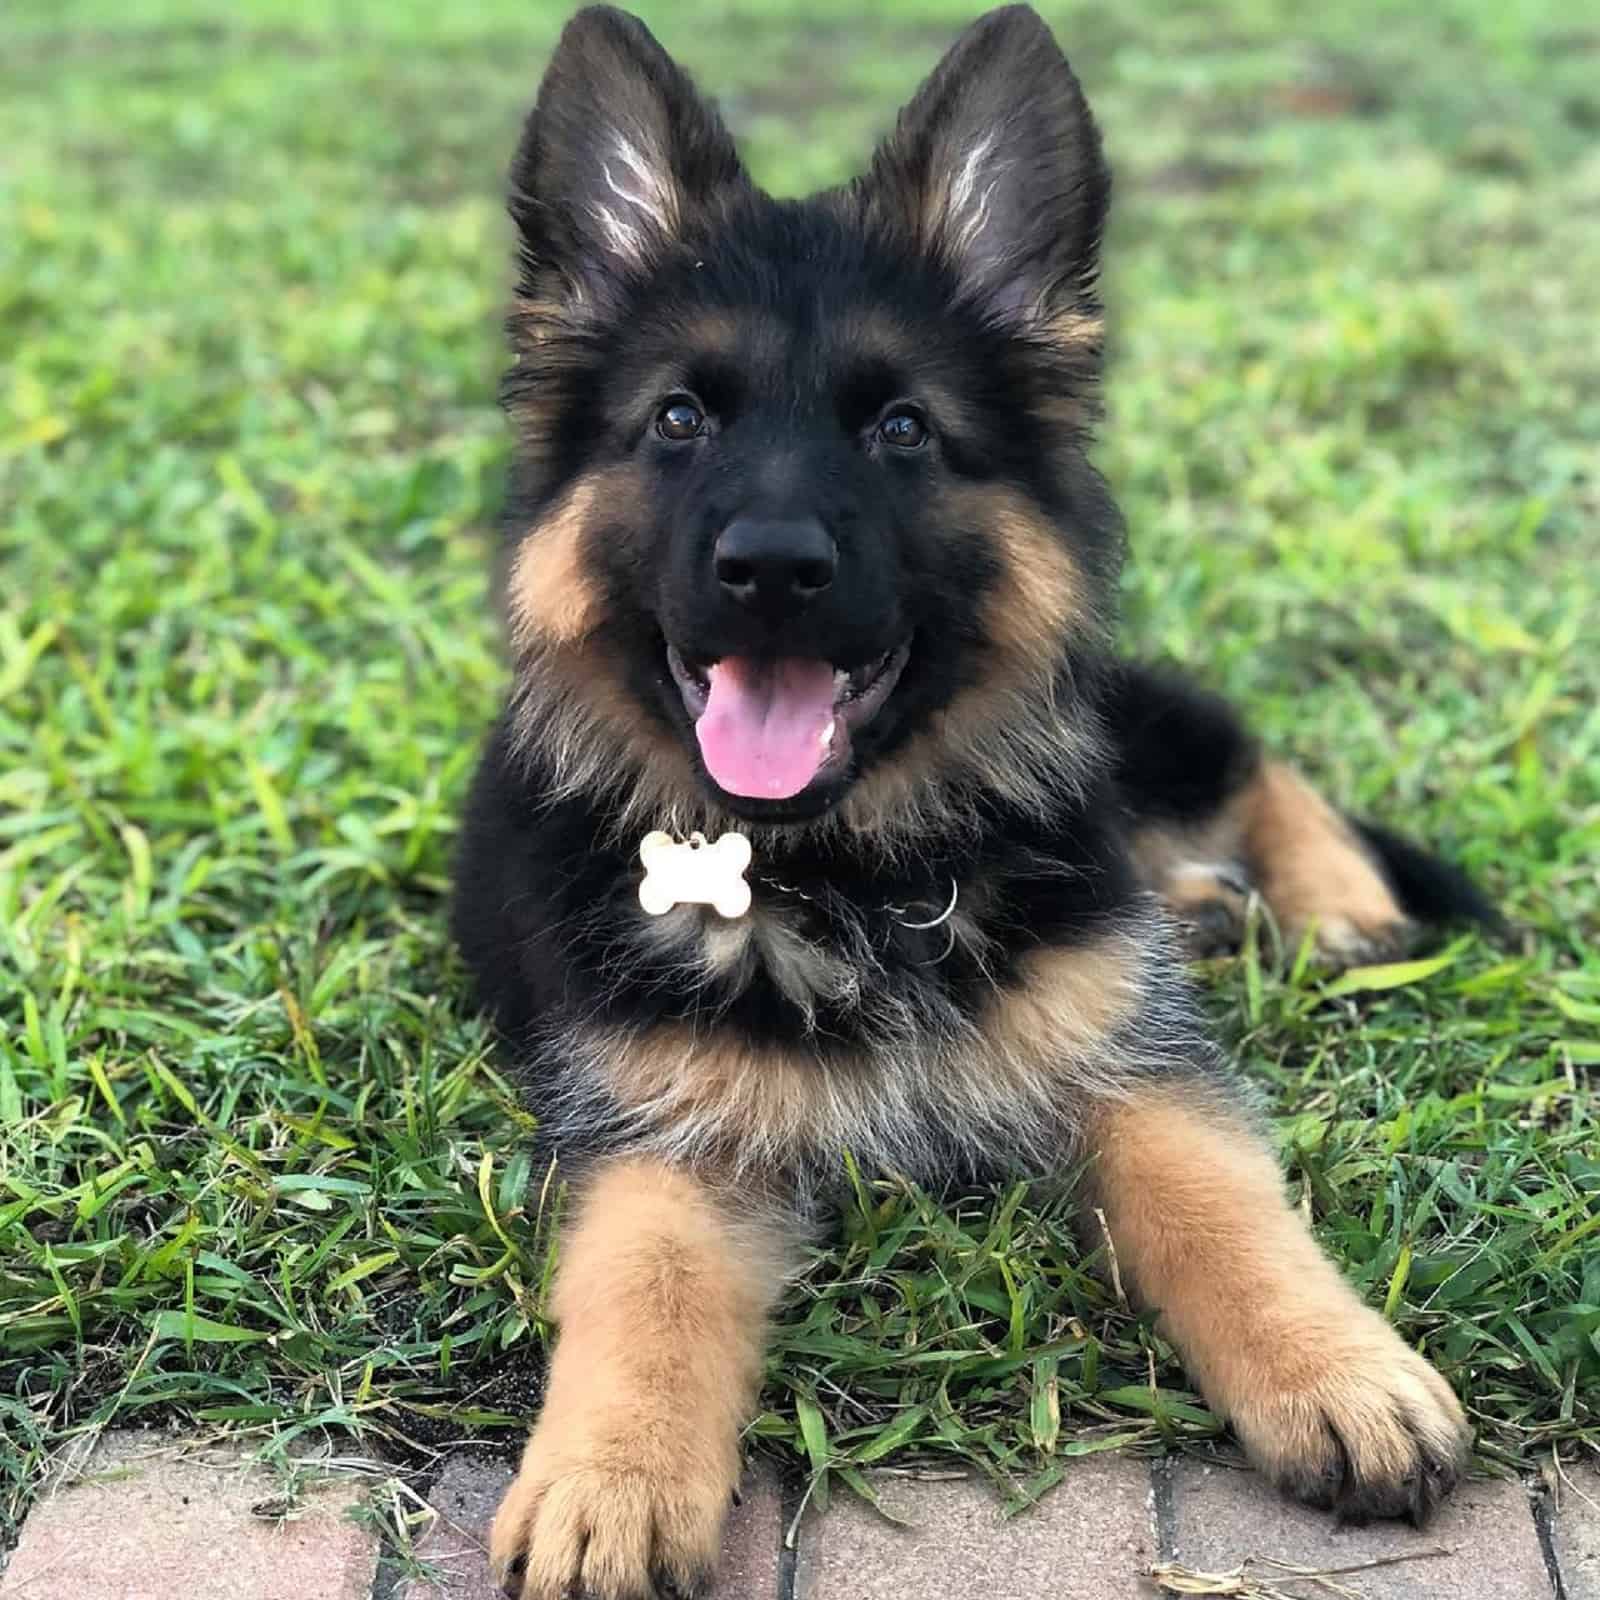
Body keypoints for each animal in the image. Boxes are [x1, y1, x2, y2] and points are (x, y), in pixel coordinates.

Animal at [451, 9, 1484, 1587]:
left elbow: (1223, 1206)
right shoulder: (661, 1136)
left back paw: (1333, 903)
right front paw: (609, 1482)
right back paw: (1210, 902)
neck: (848, 874)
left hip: (1120, 727)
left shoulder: (1133, 1062)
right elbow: (644, 1289)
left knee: (1236, 746)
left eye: (902, 431)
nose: (771, 568)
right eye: (679, 419)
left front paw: (1337, 1369)